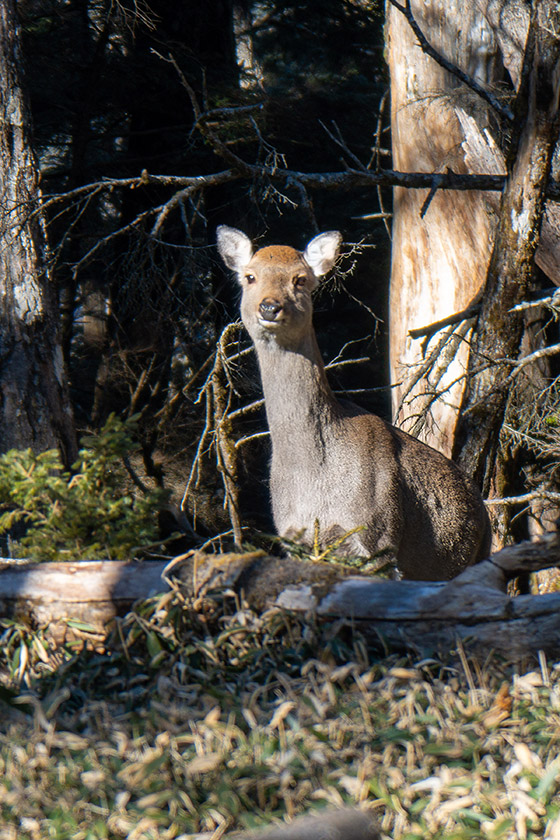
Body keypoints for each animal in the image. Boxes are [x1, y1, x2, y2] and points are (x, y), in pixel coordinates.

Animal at [217, 225, 491, 580]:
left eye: (300, 279)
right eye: (250, 276)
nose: (269, 306)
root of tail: (484, 512)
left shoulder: (377, 539)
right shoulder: (295, 540)